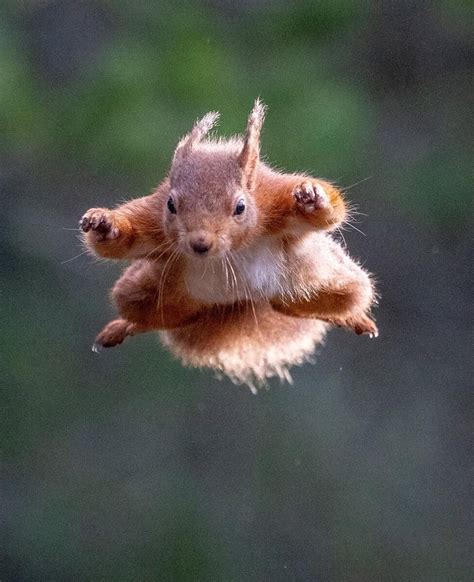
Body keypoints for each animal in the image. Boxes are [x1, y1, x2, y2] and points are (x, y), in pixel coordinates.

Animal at [80, 100, 378, 392]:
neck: (231, 250)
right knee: (151, 316)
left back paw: (355, 320)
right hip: (152, 292)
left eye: (240, 207)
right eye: (171, 205)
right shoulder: (153, 220)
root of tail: (241, 301)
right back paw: (124, 326)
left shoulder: (274, 200)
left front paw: (313, 198)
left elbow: (331, 215)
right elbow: (118, 245)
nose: (200, 243)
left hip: (322, 280)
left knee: (332, 303)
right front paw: (104, 224)